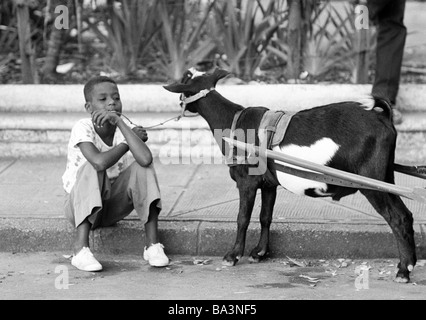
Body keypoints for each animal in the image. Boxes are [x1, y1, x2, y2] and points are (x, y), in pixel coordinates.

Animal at [163, 67, 416, 282]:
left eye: (184, 80)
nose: (178, 104)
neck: (233, 122)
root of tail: (382, 117)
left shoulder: (246, 181)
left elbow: (242, 218)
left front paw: (232, 256)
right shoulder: (268, 183)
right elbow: (265, 216)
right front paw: (259, 253)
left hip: (372, 181)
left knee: (396, 218)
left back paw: (403, 271)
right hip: (387, 177)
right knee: (406, 215)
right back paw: (408, 264)